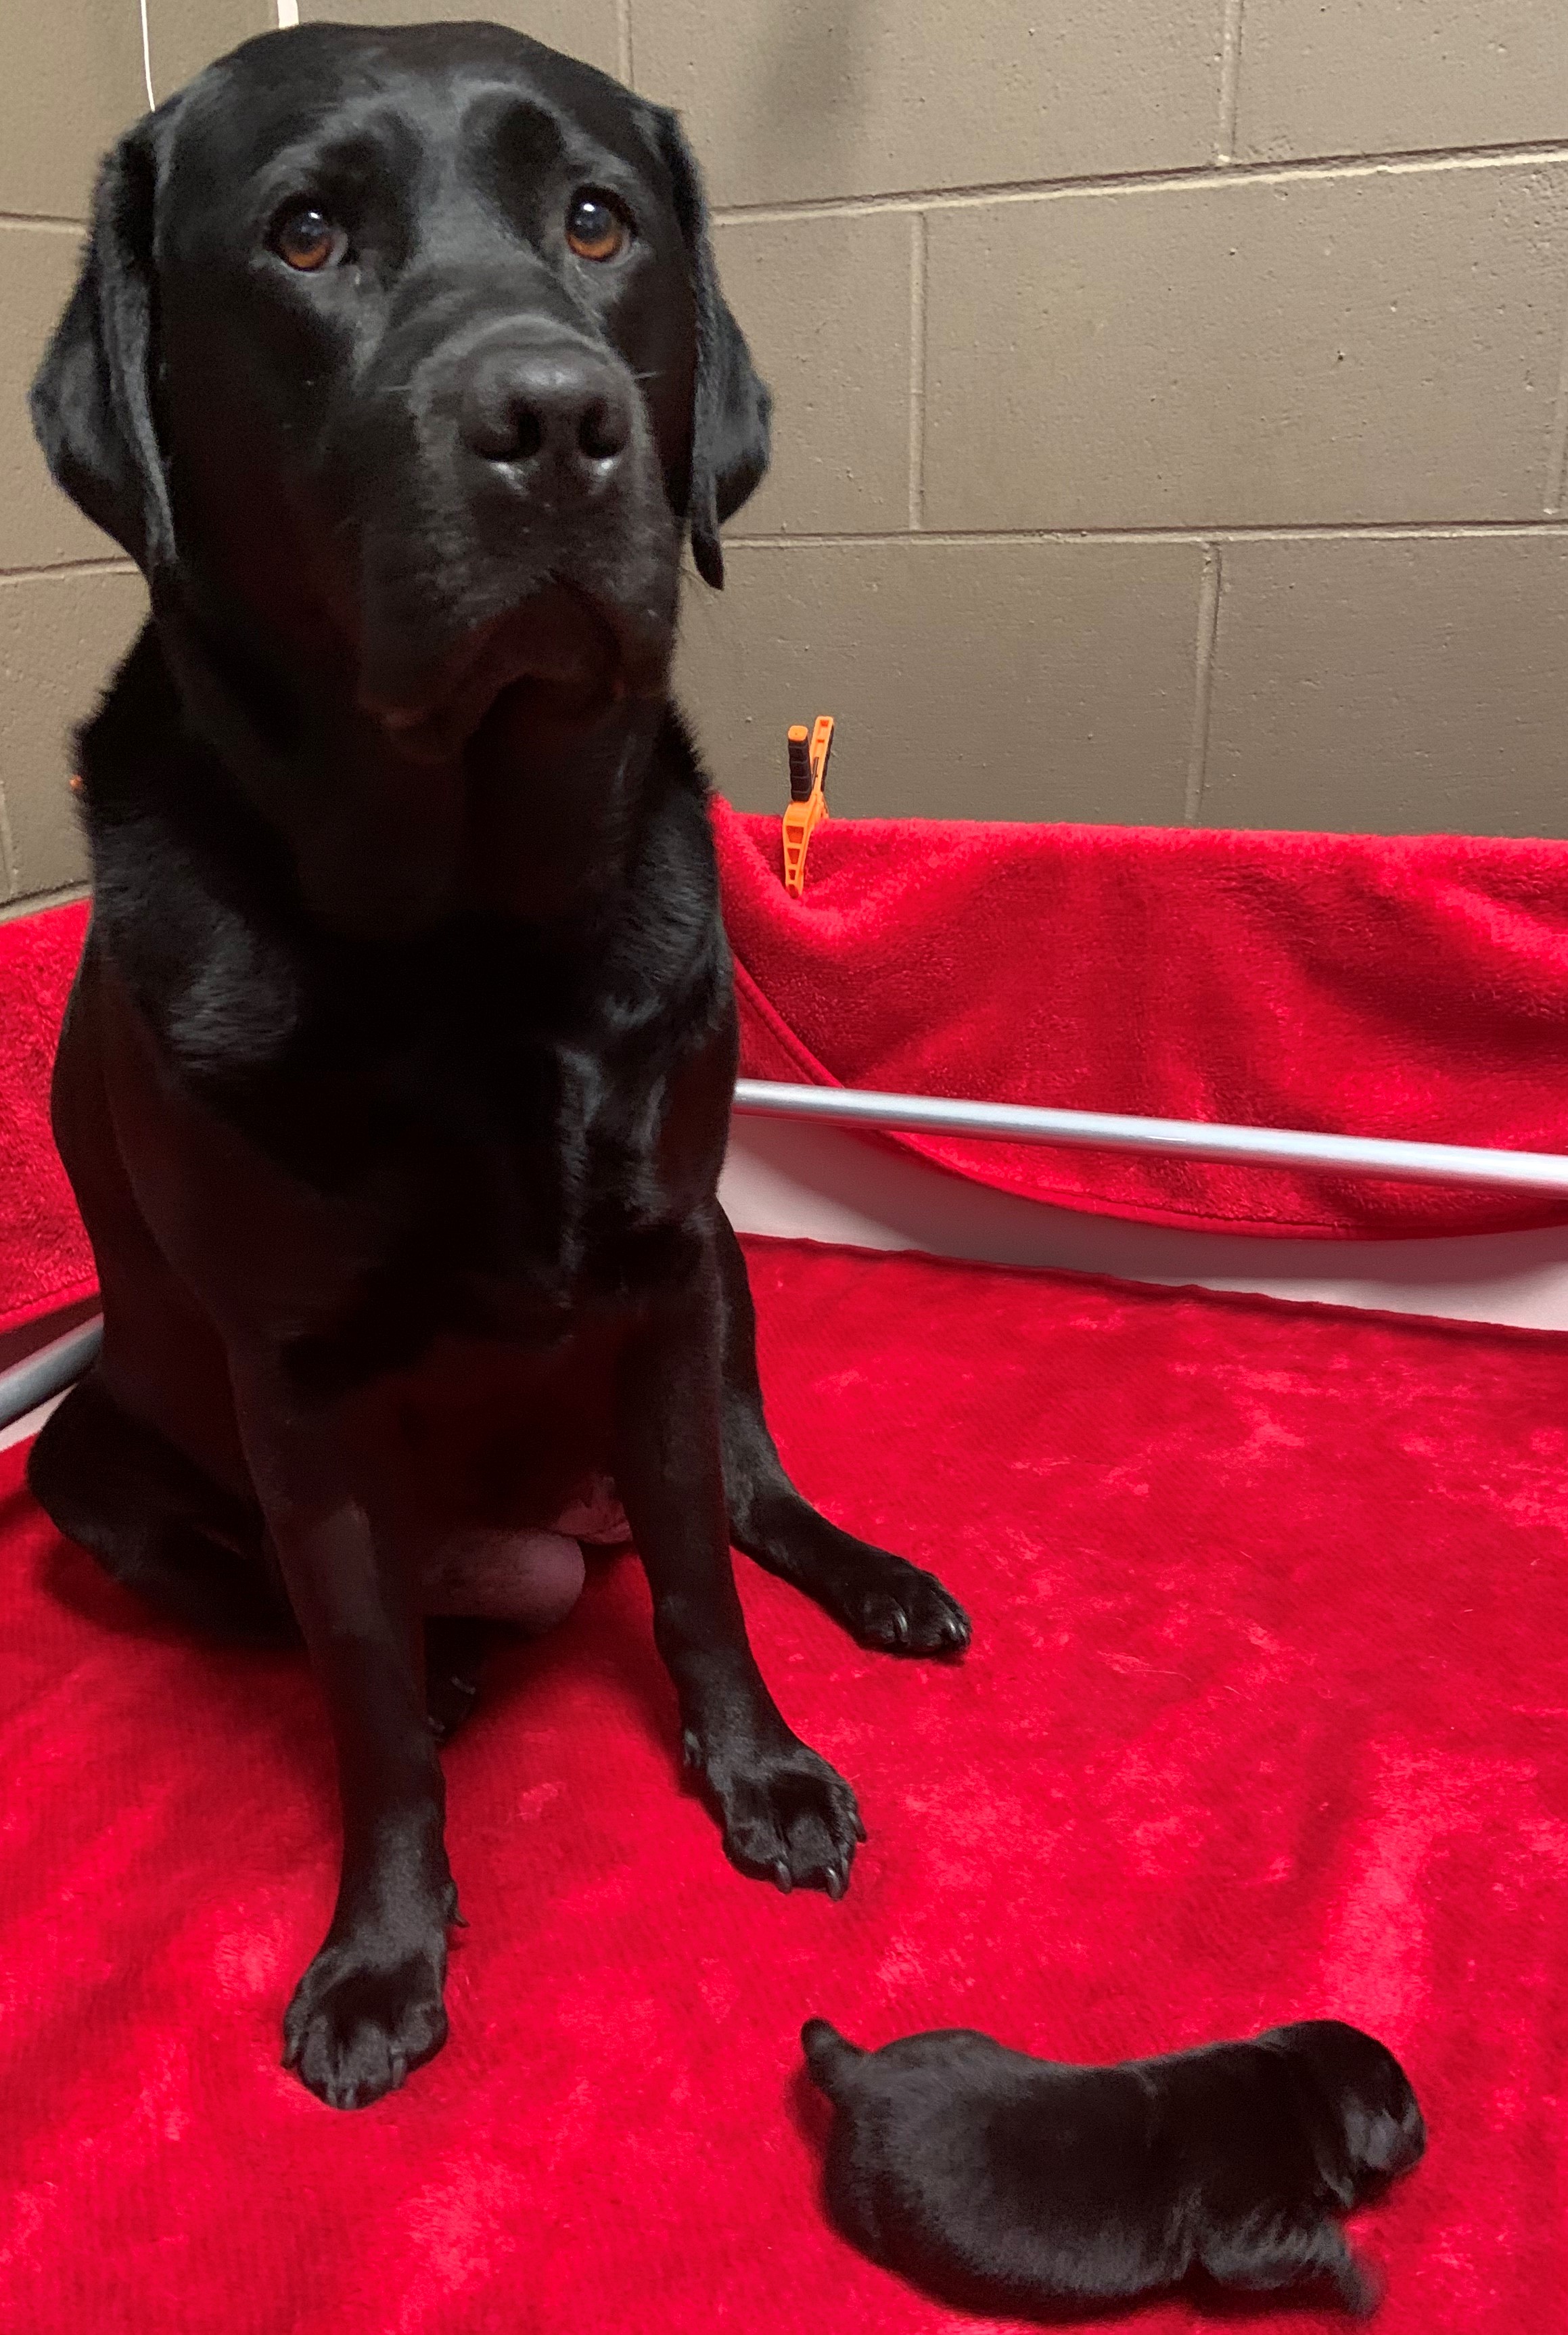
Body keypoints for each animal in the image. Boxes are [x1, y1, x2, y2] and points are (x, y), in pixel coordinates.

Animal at [27, 27, 966, 2120]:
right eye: (304, 234)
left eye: (597, 219)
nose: (553, 419)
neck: (469, 934)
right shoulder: (295, 1392)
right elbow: (366, 1701)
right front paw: (385, 1952)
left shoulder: (663, 1273)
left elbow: (700, 1584)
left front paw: (762, 1773)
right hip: (89, 1464)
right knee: (320, 1623)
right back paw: (460, 1667)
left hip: (730, 1280)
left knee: (749, 1500)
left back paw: (875, 1579)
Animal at [802, 2008, 1428, 2316]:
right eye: (1406, 2104)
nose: (1426, 2134)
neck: (1297, 2087)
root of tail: (855, 2074)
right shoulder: (1245, 2229)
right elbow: (1305, 2244)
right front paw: (1362, 2283)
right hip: (861, 2204)